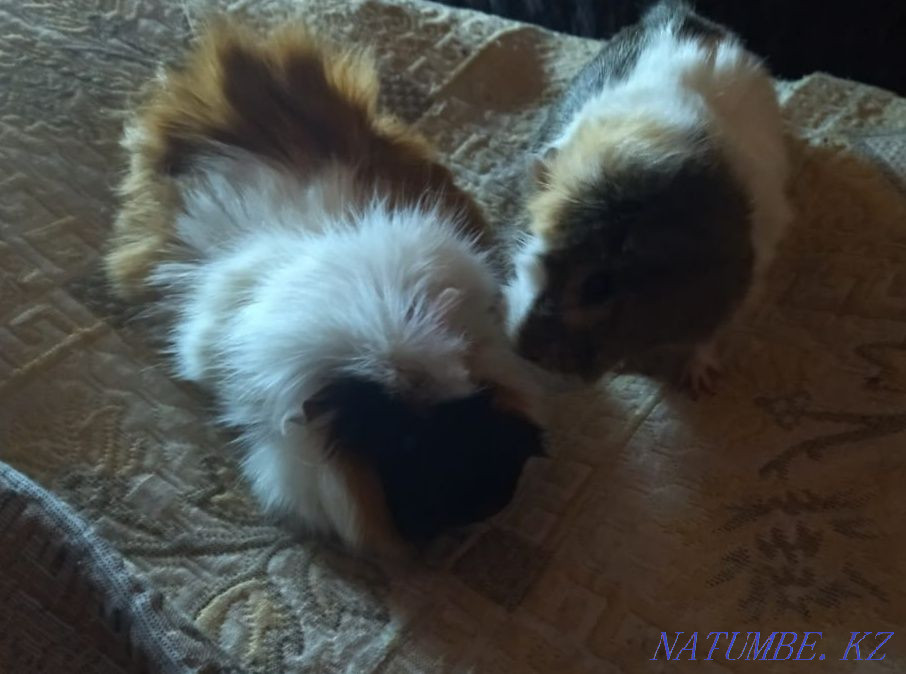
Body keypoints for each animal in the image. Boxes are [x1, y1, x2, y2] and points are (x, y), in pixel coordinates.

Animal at [505, 0, 792, 394]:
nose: (521, 349)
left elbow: (708, 341)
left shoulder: (739, 289)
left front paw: (697, 384)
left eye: (597, 287)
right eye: (528, 247)